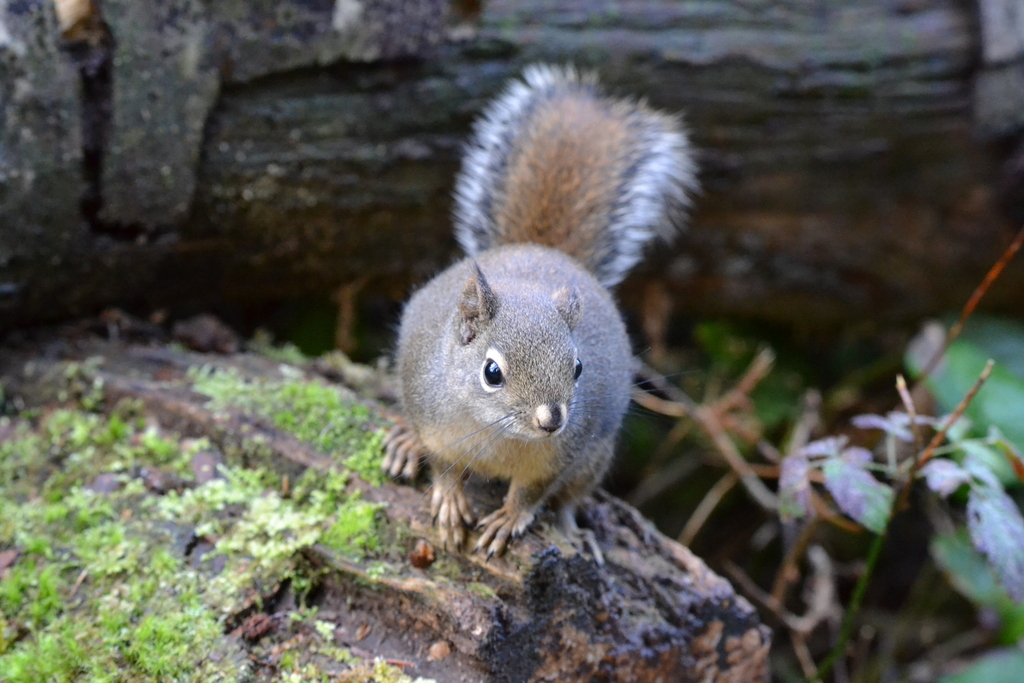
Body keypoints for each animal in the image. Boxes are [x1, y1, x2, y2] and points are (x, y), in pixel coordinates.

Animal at [382, 64, 698, 558]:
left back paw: (572, 530)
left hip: (594, 456)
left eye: (579, 367)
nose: (552, 419)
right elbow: (444, 467)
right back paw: (404, 441)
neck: (497, 434)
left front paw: (509, 519)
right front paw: (450, 501)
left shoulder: (560, 456)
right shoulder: (434, 420)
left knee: (572, 496)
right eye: (492, 372)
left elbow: (533, 492)